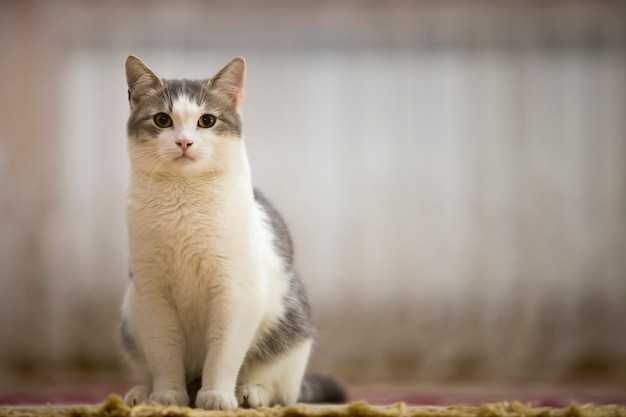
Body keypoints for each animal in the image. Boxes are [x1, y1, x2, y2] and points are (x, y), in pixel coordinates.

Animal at [119, 56, 344, 410]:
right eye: (163, 119)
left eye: (207, 121)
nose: (184, 142)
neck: (185, 202)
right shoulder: (152, 295)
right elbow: (164, 353)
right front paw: (167, 395)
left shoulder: (235, 293)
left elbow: (223, 354)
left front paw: (217, 396)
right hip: (131, 317)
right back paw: (142, 393)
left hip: (292, 331)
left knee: (283, 390)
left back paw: (251, 395)